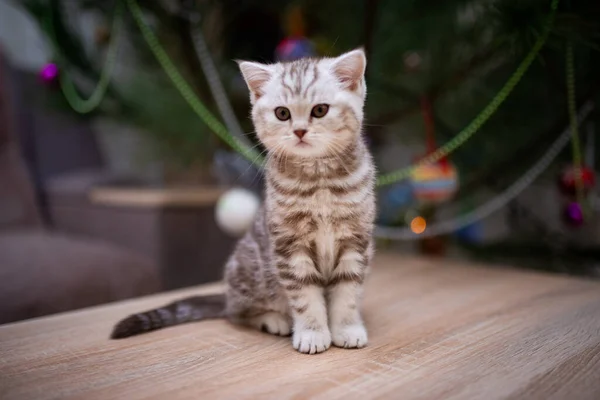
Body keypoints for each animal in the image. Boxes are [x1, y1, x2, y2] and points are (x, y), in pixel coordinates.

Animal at [111, 48, 376, 354]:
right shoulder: (289, 245)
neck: (318, 179)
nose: (299, 131)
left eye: (320, 110)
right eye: (282, 113)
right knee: (236, 313)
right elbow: (305, 295)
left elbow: (347, 293)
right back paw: (275, 320)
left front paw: (347, 328)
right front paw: (312, 333)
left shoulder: (356, 240)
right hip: (251, 269)